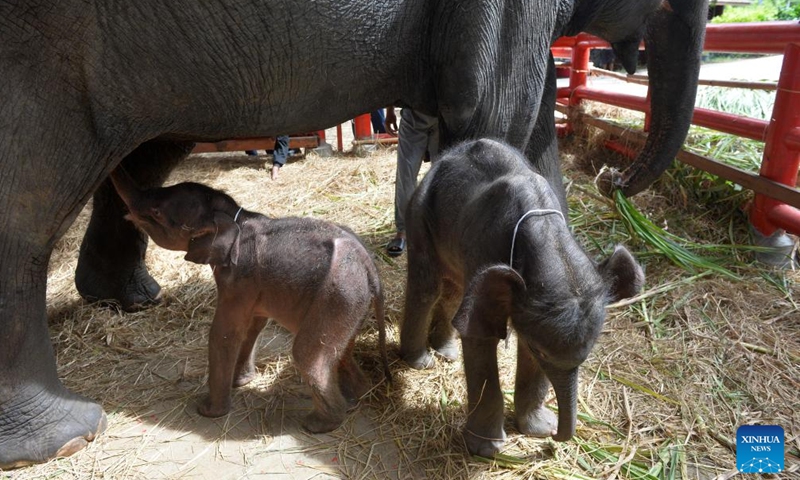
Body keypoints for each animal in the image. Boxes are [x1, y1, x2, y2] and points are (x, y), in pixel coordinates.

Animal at [109, 168, 390, 433]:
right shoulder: (253, 286)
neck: (236, 215)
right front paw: (240, 383)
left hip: (336, 296)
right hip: (350, 303)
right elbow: (253, 326)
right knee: (340, 350)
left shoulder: (238, 280)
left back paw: (318, 424)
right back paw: (355, 399)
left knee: (308, 355)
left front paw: (207, 411)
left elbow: (224, 333)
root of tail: (370, 266)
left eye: (156, 212)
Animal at [400, 139, 645, 457]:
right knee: (427, 286)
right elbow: (480, 337)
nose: (553, 442)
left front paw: (538, 429)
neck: (547, 234)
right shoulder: (485, 246)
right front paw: (488, 450)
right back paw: (420, 362)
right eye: (541, 351)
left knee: (454, 289)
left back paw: (447, 353)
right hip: (420, 212)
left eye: (589, 353)